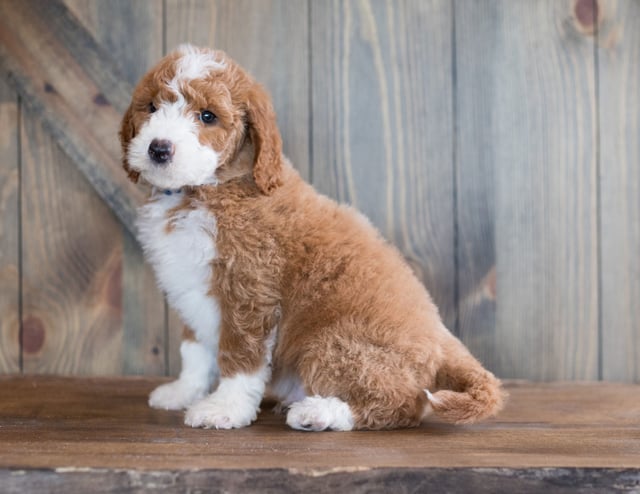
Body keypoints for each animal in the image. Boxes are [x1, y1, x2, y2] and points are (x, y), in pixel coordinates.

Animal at [117, 47, 502, 432]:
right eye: (151, 106)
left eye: (207, 116)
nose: (159, 149)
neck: (206, 190)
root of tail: (443, 342)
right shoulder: (191, 287)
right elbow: (194, 349)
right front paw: (184, 391)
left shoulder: (249, 289)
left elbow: (241, 357)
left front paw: (224, 408)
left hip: (333, 344)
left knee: (402, 404)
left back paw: (318, 413)